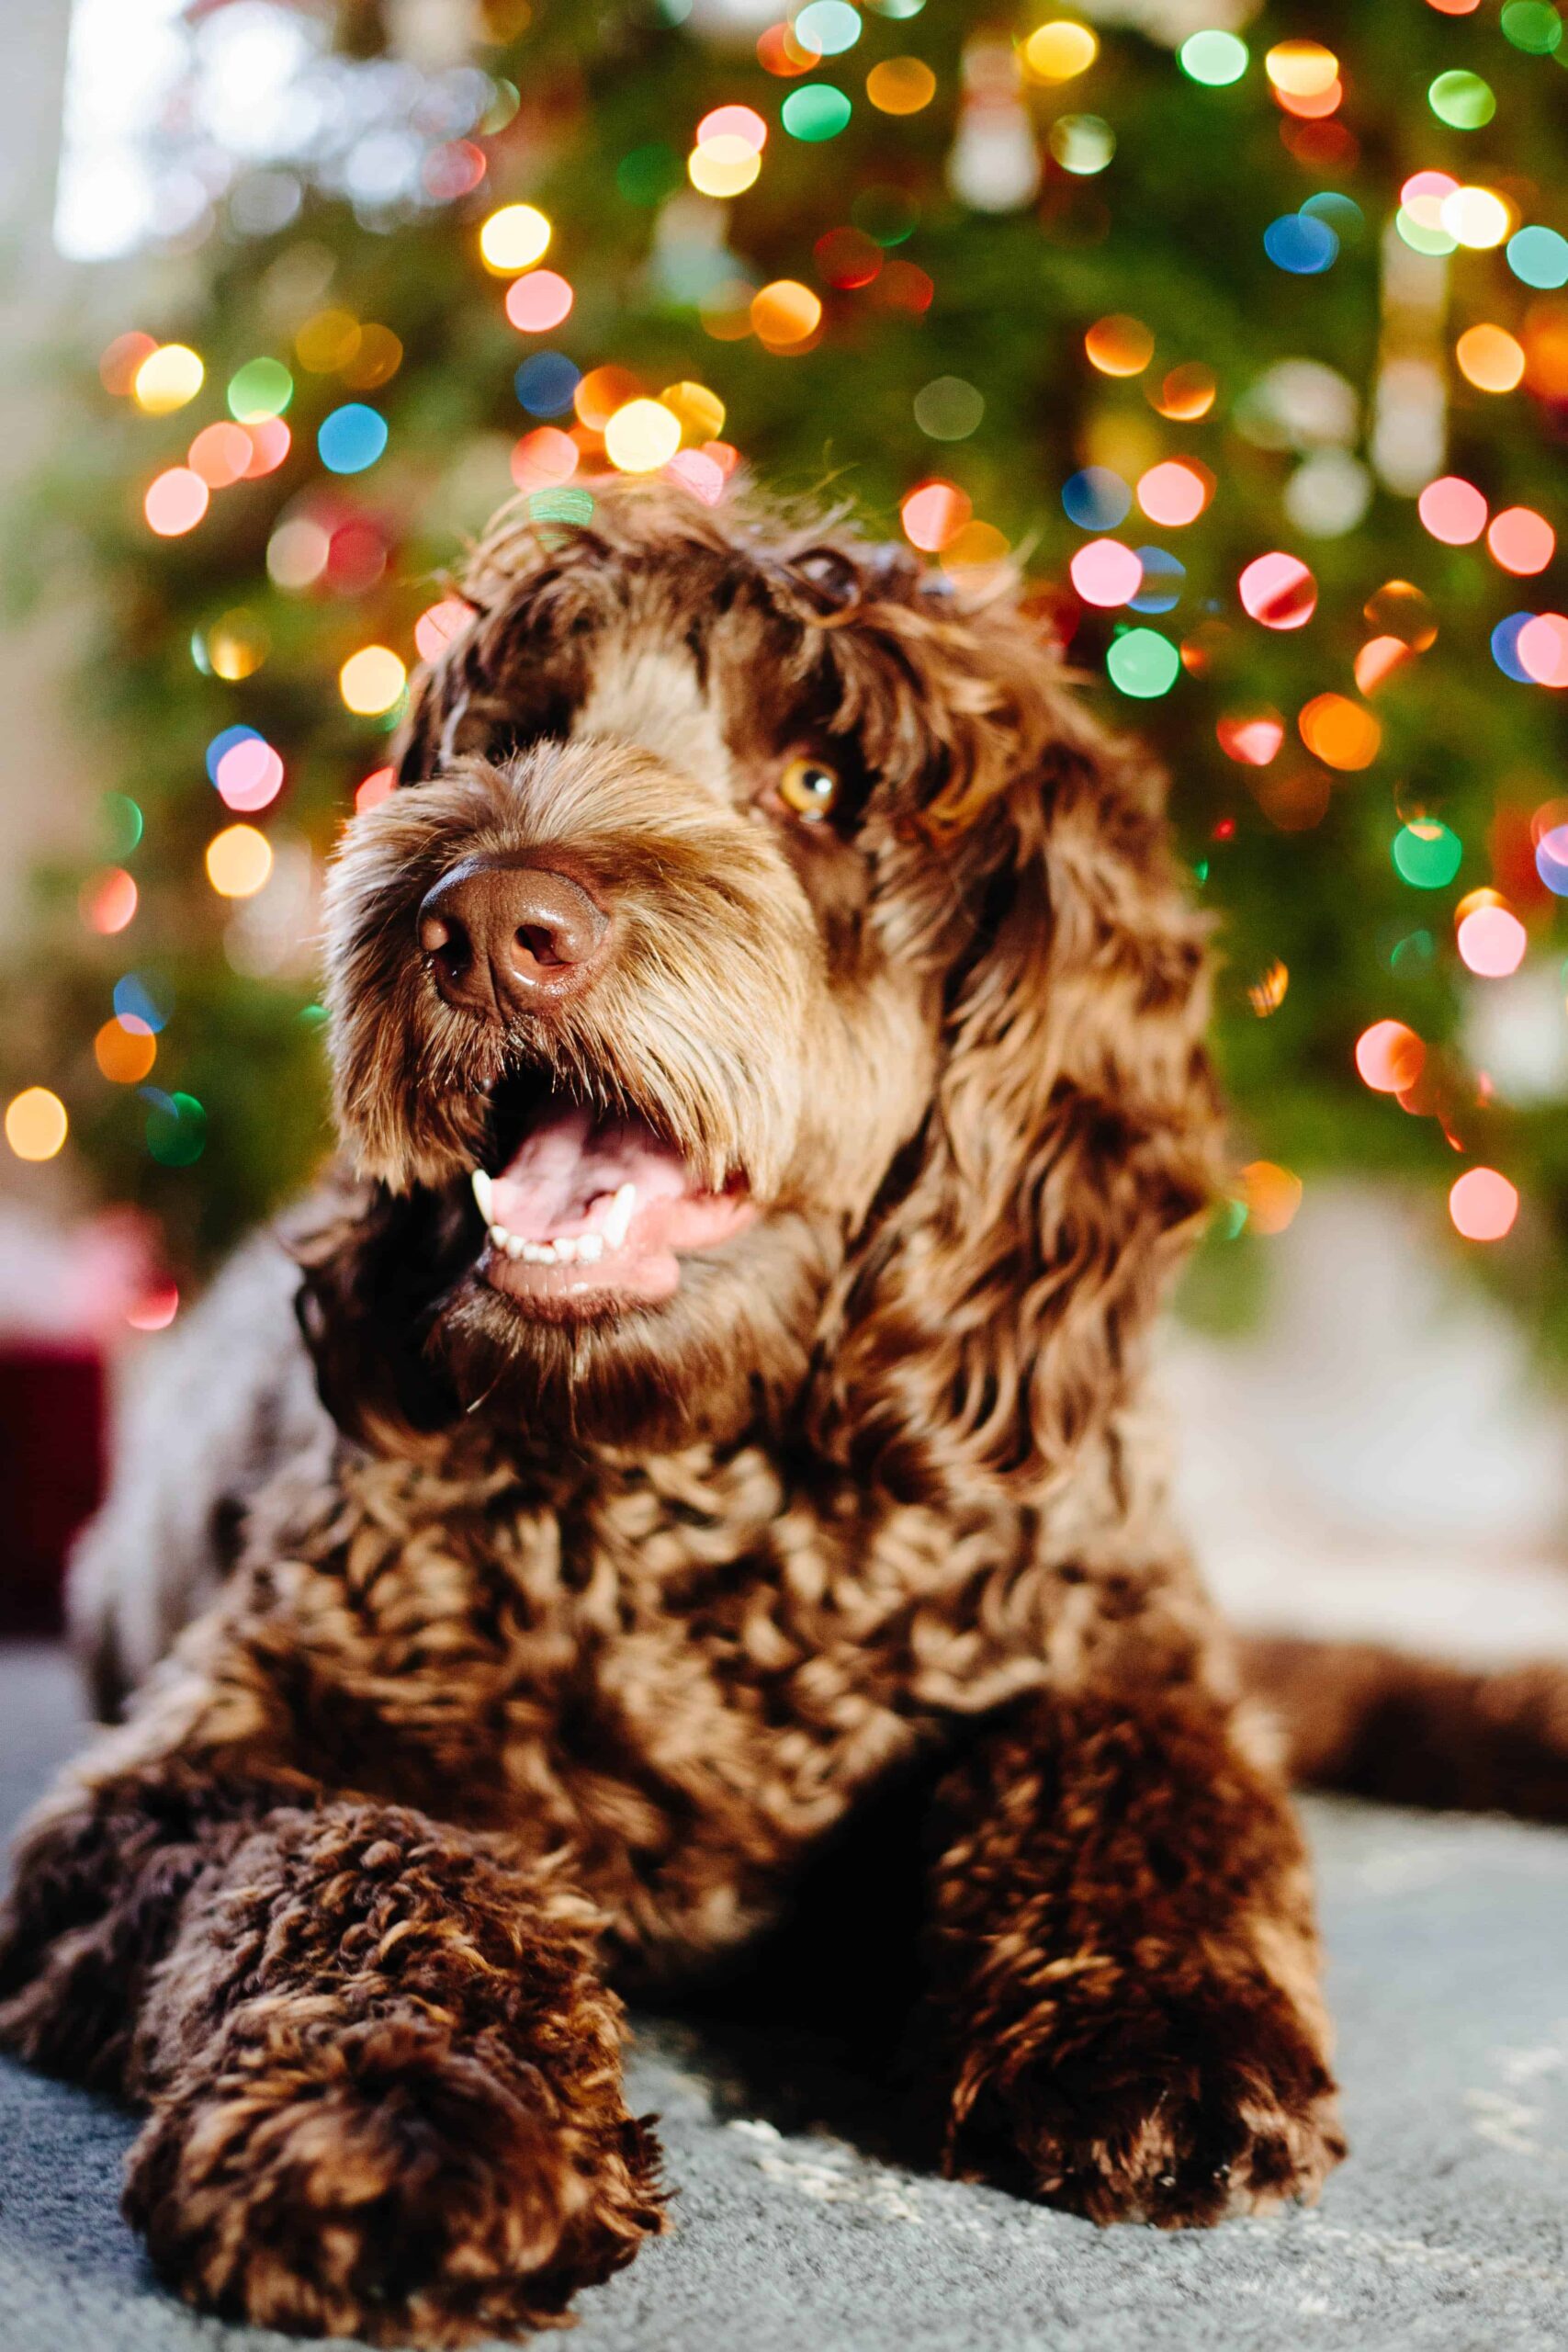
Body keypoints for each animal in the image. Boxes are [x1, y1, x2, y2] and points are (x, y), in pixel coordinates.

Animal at [0, 477, 1354, 2333]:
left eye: (826, 785)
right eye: (513, 732)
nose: (480, 923)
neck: (697, 1490)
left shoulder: (1126, 1646)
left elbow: (1136, 1777)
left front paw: (1152, 2020)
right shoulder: (160, 1792)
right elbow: (360, 1852)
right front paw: (399, 2116)